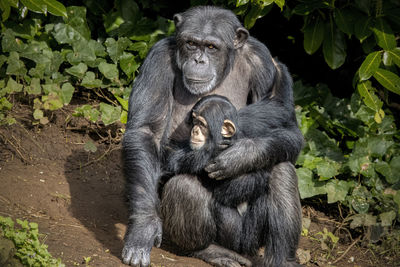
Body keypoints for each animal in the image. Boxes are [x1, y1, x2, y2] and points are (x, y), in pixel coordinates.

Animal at [122, 4, 304, 267]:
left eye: (211, 47)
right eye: (190, 43)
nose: (199, 59)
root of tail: (241, 249)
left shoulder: (262, 60)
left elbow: (289, 127)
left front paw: (242, 156)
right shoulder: (158, 59)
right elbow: (146, 131)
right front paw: (143, 227)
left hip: (251, 239)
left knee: (282, 168)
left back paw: (282, 259)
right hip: (229, 234)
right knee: (185, 187)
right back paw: (208, 251)